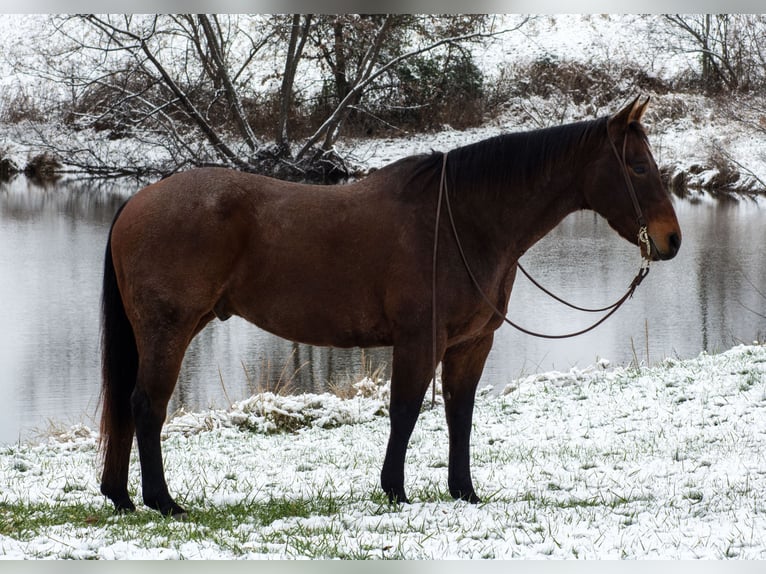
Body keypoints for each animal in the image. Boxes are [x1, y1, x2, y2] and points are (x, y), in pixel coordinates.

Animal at [99, 97, 681, 517]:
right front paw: (395, 491)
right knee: (146, 406)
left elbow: (460, 415)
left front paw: (464, 492)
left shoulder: (471, 344)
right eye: (637, 166)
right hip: (168, 331)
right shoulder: (419, 340)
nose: (671, 240)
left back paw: (121, 497)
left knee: (131, 410)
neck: (462, 221)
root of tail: (137, 200)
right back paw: (162, 503)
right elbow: (404, 412)